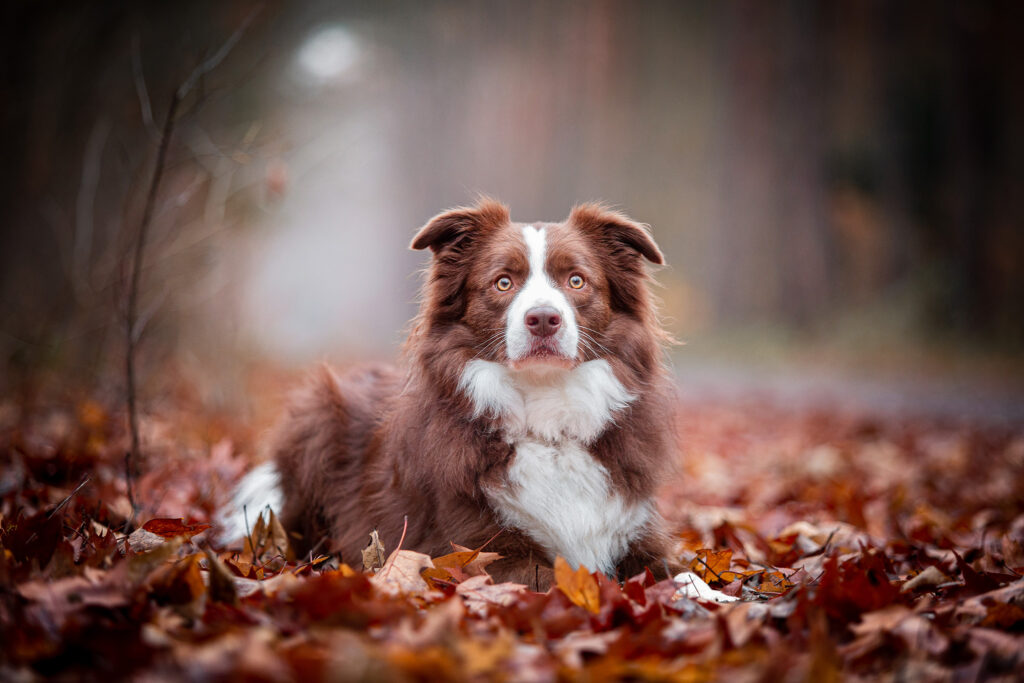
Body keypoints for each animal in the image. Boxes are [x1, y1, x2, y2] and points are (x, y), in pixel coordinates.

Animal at [220, 198, 675, 589]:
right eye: (503, 282)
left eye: (576, 280)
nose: (544, 319)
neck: (546, 422)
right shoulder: (472, 548)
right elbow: (554, 579)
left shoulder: (636, 531)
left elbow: (678, 575)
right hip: (316, 416)